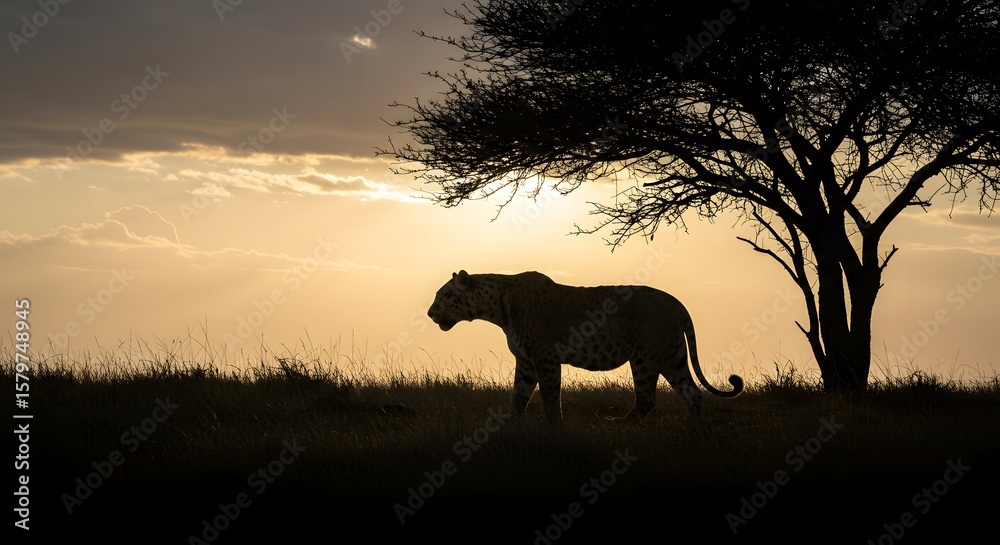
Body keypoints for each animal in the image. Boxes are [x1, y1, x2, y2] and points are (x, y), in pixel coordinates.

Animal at [427, 270, 743, 420]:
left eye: (444, 296)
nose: (430, 313)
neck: (497, 309)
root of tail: (677, 302)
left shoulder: (545, 358)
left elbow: (550, 398)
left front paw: (555, 427)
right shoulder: (526, 362)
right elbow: (518, 395)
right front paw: (510, 422)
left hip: (644, 358)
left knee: (647, 400)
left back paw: (618, 424)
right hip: (672, 357)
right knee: (693, 394)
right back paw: (692, 431)